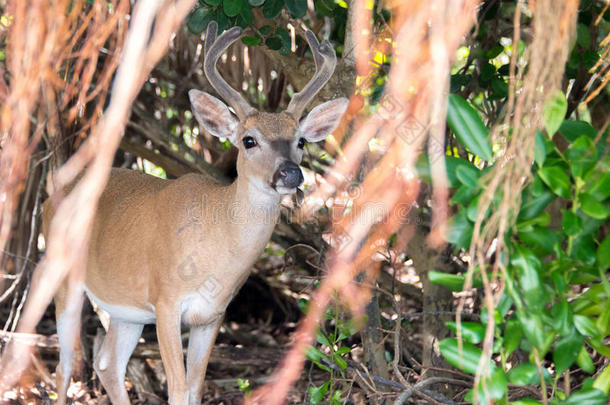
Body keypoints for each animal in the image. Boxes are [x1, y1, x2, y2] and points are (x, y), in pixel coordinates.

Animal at [42, 21, 346, 404]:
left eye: (301, 140)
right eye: (249, 140)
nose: (289, 173)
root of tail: (49, 198)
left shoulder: (212, 315)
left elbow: (194, 387)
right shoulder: (166, 301)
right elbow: (176, 388)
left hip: (127, 308)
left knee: (107, 363)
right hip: (63, 276)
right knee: (64, 365)